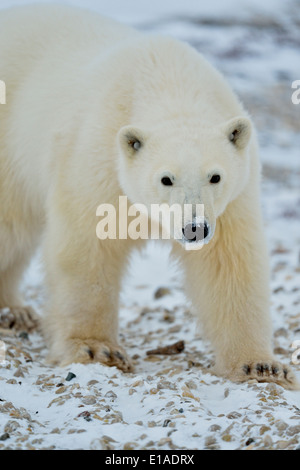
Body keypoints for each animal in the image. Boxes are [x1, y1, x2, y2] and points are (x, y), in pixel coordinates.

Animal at [0, 3, 296, 388]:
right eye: (165, 179)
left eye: (215, 176)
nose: (194, 228)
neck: (166, 80)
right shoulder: (98, 162)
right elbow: (87, 248)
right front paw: (97, 349)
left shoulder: (232, 200)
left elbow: (229, 264)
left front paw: (260, 365)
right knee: (11, 224)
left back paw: (15, 311)